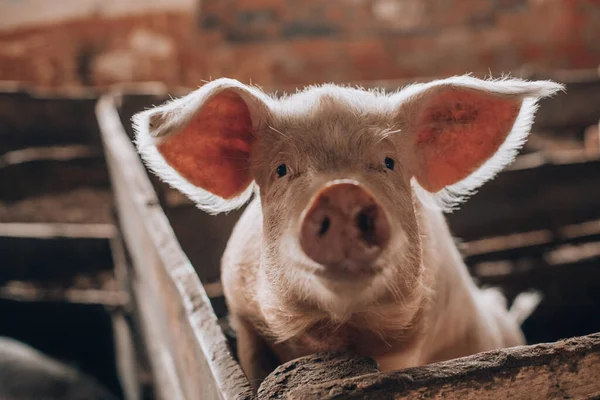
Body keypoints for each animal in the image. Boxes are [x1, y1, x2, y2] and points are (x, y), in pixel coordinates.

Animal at [134, 74, 564, 388]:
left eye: (389, 162)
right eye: (281, 169)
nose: (341, 191)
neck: (336, 331)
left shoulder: (410, 343)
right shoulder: (243, 318)